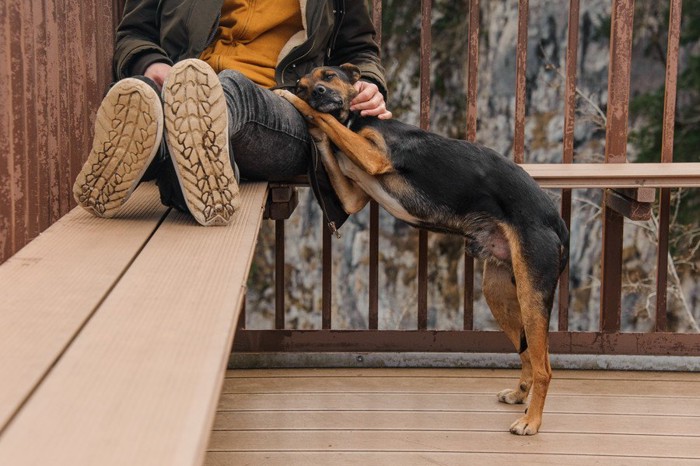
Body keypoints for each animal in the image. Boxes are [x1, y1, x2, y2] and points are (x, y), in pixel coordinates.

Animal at [274, 63, 568, 436]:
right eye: (304, 83)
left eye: (328, 75)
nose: (316, 93)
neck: (354, 119)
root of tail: (556, 221)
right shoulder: (354, 194)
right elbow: (326, 136)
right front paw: (306, 114)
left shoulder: (374, 157)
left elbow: (325, 121)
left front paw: (292, 102)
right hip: (500, 293)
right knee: (527, 353)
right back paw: (519, 395)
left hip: (532, 293)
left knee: (545, 366)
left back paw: (531, 421)